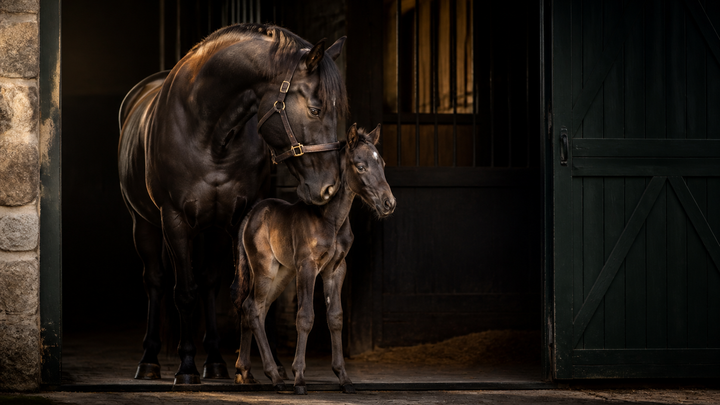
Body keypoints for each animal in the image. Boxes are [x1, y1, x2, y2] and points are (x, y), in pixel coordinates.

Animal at [118, 23, 348, 385]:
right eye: (315, 109)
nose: (329, 188)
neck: (209, 133)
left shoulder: (240, 217)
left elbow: (244, 290)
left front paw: (262, 365)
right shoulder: (174, 220)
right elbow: (184, 292)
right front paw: (186, 367)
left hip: (212, 228)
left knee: (210, 283)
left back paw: (215, 361)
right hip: (144, 225)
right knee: (155, 281)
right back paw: (150, 361)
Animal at [231, 124, 396, 394]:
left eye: (381, 162)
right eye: (360, 166)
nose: (388, 203)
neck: (331, 220)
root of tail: (252, 214)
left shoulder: (336, 269)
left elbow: (335, 317)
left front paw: (344, 378)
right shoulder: (307, 267)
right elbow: (305, 317)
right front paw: (299, 378)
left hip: (281, 274)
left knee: (256, 308)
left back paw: (245, 372)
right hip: (264, 268)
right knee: (252, 307)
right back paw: (274, 376)